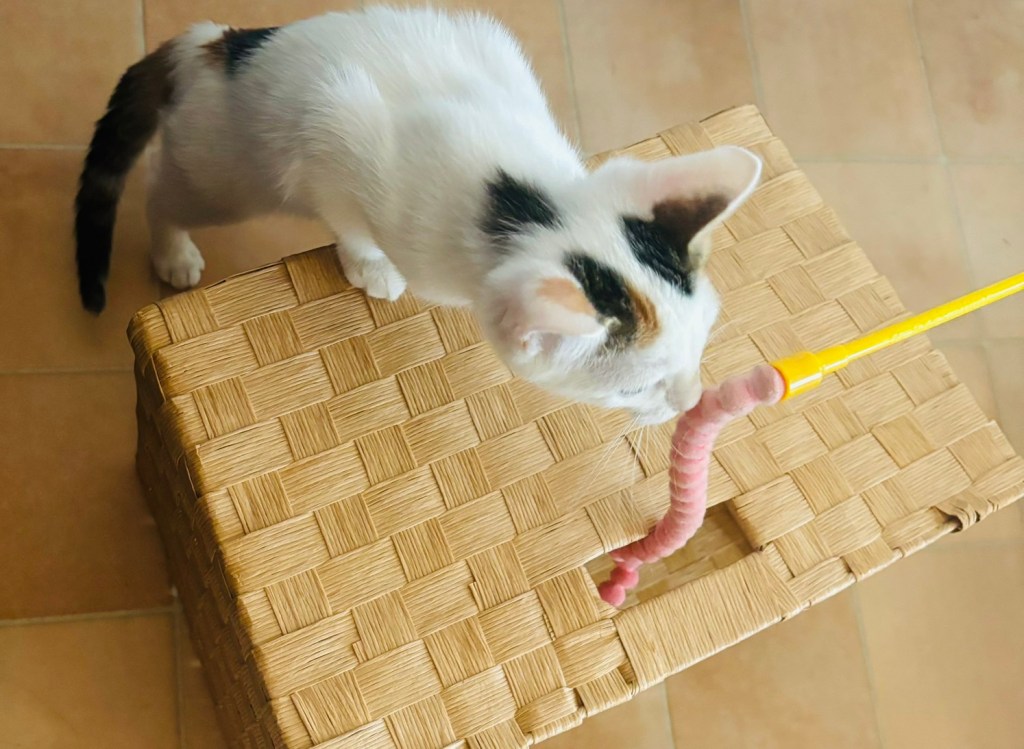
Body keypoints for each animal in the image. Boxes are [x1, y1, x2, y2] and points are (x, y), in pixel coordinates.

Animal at [75, 5, 761, 425]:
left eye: (701, 348)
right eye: (633, 389)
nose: (691, 399)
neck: (524, 202)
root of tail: (214, 43)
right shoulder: (333, 135)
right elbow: (348, 217)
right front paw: (370, 264)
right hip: (228, 175)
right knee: (163, 191)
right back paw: (174, 253)